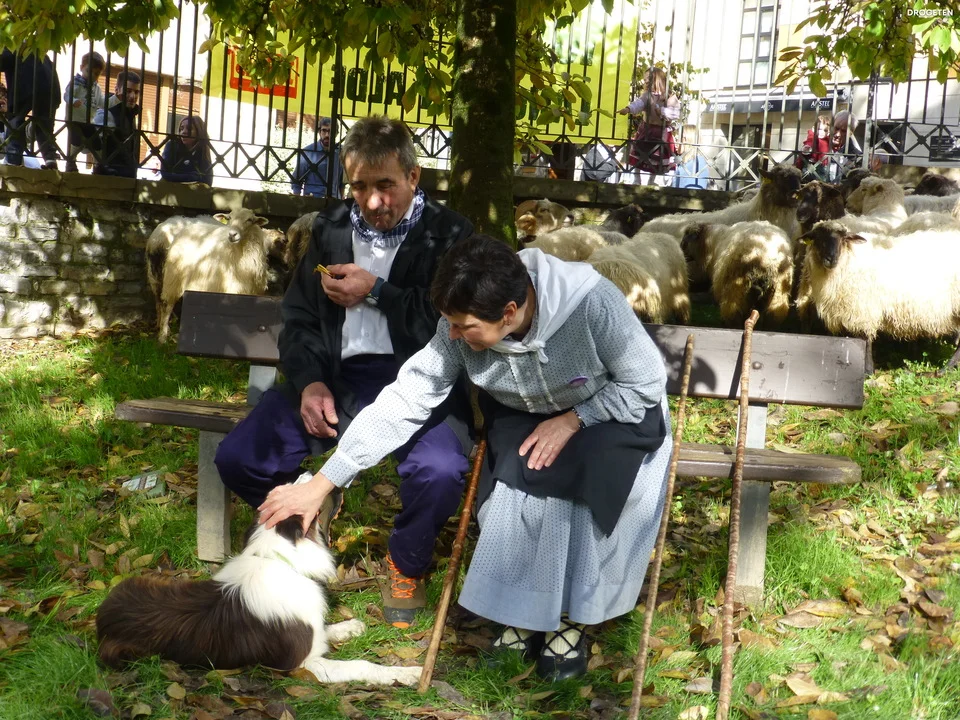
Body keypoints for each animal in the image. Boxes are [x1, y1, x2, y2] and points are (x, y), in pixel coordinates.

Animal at [95, 515, 422, 686]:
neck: (279, 560)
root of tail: (102, 617)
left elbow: (326, 630)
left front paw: (351, 626)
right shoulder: (304, 664)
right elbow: (362, 665)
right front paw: (409, 673)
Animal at [155, 208, 270, 342]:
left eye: (250, 220)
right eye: (229, 218)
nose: (232, 235)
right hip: (173, 278)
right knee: (167, 306)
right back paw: (162, 336)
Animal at [797, 220, 960, 373]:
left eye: (843, 238)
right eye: (817, 237)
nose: (831, 259)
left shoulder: (863, 311)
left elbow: (866, 341)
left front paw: (868, 370)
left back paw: (945, 369)